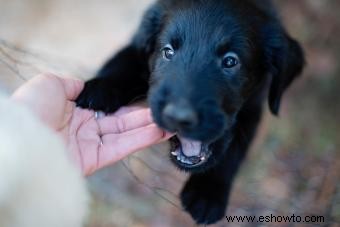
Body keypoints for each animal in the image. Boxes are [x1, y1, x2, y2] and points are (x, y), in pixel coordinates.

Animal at [77, 0, 306, 223]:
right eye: (168, 51)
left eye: (230, 61)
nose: (178, 117)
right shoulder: (136, 47)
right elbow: (124, 60)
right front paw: (99, 88)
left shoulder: (253, 106)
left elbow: (234, 147)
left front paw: (207, 192)